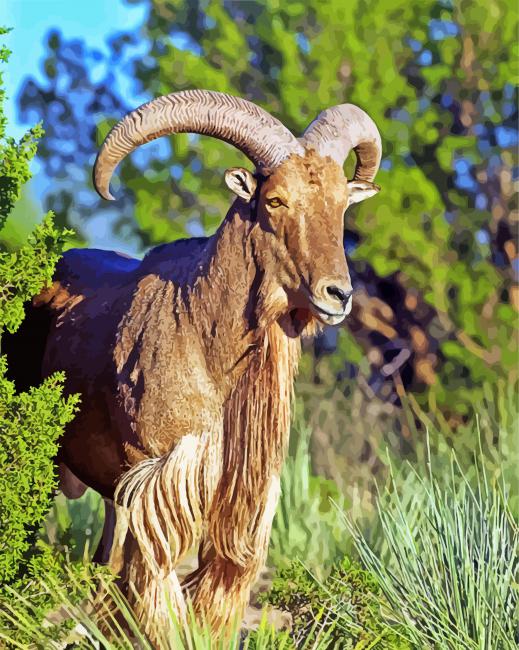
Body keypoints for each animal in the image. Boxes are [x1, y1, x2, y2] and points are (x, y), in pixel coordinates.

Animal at [7, 90, 381, 635]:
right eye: (275, 200)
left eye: (339, 206)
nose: (338, 294)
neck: (209, 342)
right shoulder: (157, 475)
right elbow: (156, 577)